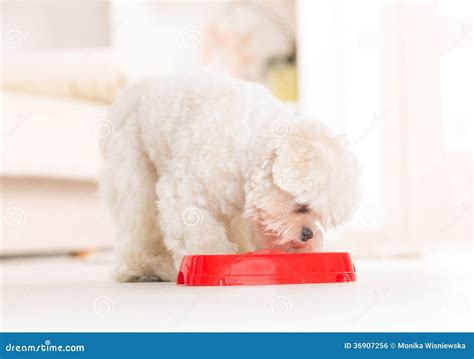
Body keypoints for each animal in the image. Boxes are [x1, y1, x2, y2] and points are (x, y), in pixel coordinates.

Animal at [101, 71, 360, 282]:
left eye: (320, 217)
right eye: (302, 206)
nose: (308, 234)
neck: (250, 148)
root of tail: (136, 90)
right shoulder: (181, 194)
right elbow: (199, 232)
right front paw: (213, 257)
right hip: (135, 178)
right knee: (137, 225)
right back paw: (142, 268)